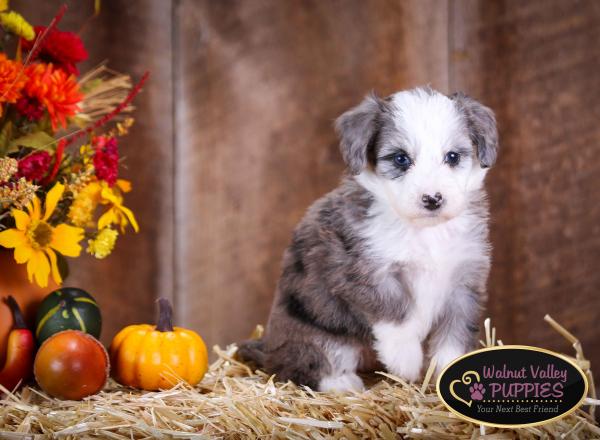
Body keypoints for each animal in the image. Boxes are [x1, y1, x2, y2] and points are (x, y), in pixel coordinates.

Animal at [238, 87, 496, 392]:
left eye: (453, 157)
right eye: (400, 159)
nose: (433, 199)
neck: (424, 231)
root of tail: (268, 352)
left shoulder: (464, 283)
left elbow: (454, 338)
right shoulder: (362, 273)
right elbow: (397, 313)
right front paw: (406, 360)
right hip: (316, 330)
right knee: (309, 362)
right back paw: (342, 382)